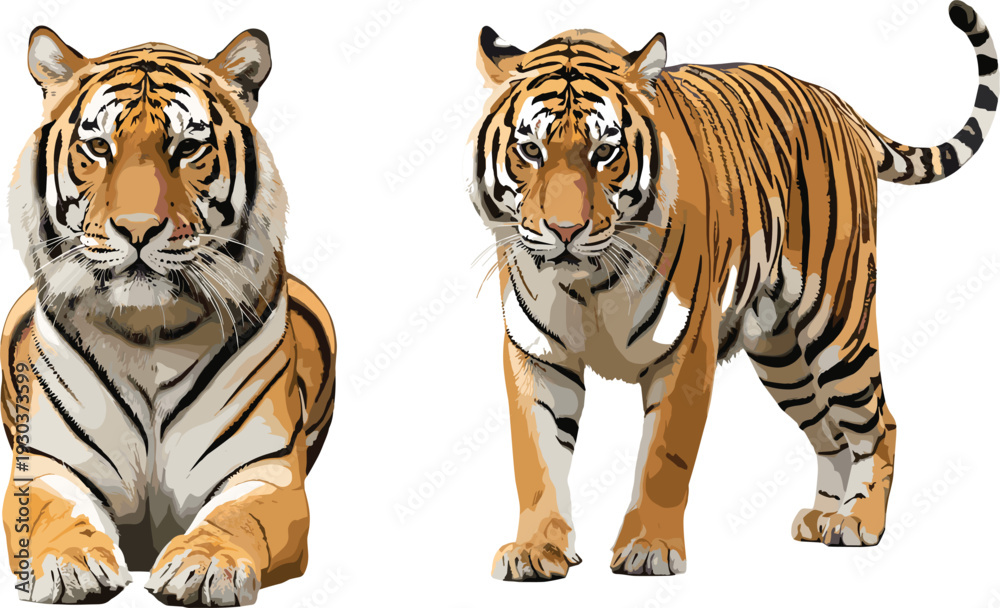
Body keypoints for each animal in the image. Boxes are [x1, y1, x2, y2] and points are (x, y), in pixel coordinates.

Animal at [1, 27, 336, 604]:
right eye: (98, 147)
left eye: (187, 148)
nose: (138, 228)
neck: (147, 333)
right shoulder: (43, 466)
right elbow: (58, 514)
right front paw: (70, 565)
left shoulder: (264, 470)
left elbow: (236, 519)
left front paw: (205, 566)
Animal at [468, 1, 997, 580]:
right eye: (530, 150)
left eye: (606, 152)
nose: (565, 231)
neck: (587, 280)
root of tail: (841, 106)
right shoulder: (536, 354)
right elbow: (536, 459)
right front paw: (535, 550)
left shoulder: (683, 348)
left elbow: (664, 457)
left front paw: (650, 549)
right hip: (782, 357)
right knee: (830, 433)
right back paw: (822, 516)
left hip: (838, 324)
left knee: (879, 422)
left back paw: (858, 522)